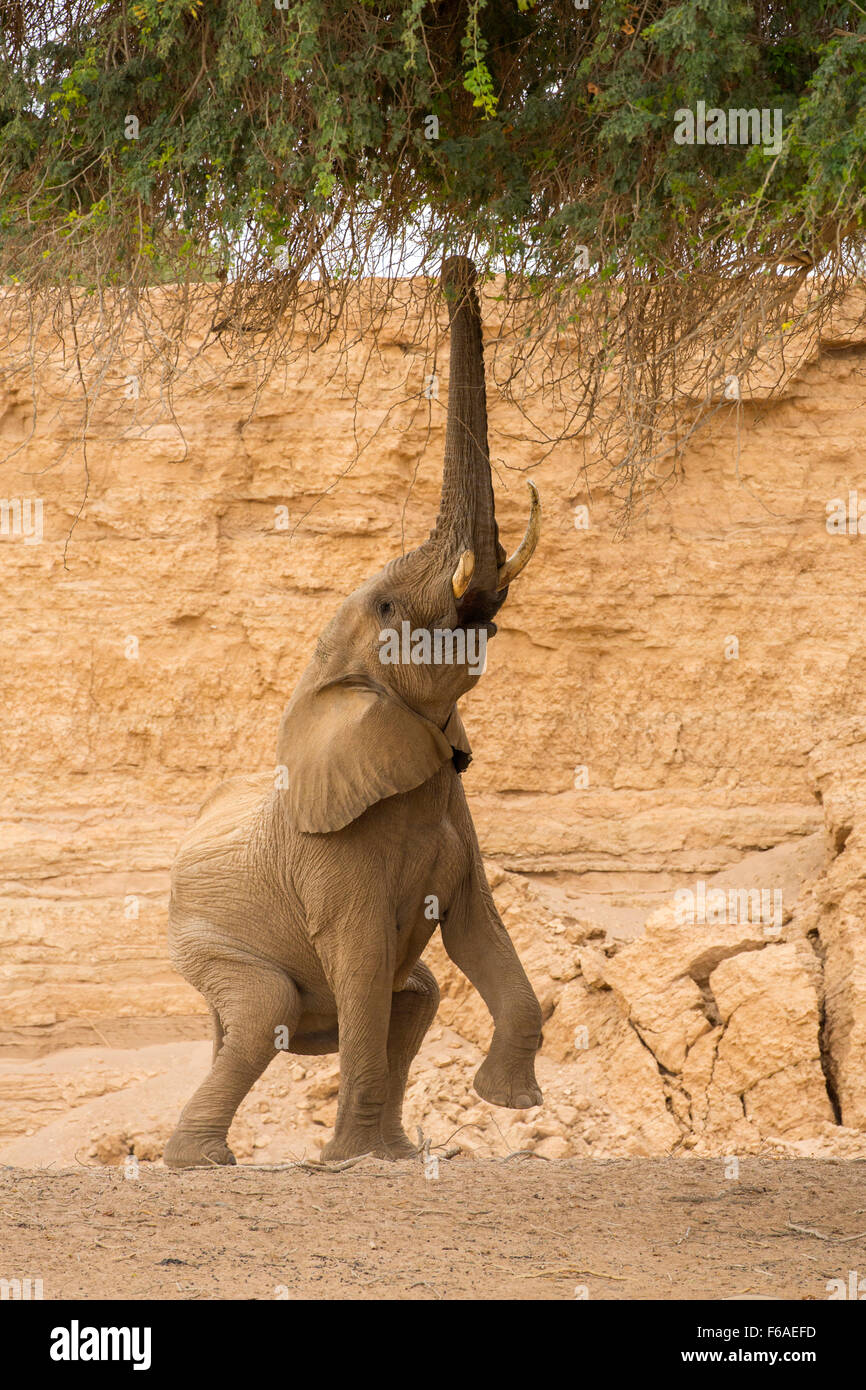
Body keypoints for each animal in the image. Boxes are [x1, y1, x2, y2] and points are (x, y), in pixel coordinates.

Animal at [163, 255, 544, 1167]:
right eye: (386, 607)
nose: (455, 261)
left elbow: (479, 929)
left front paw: (505, 1105)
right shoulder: (329, 861)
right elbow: (364, 957)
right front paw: (352, 1164)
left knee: (417, 995)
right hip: (203, 933)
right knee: (265, 1012)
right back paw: (201, 1162)